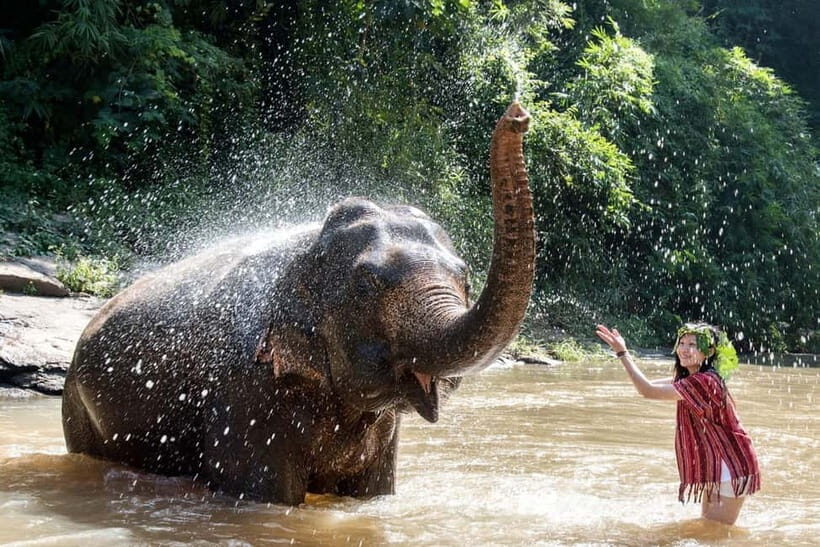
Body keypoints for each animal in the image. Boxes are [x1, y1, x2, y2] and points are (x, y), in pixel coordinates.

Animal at [62, 102, 535, 505]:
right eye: (365, 285)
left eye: (465, 278)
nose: (518, 115)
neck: (304, 253)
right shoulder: (246, 396)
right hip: (76, 406)